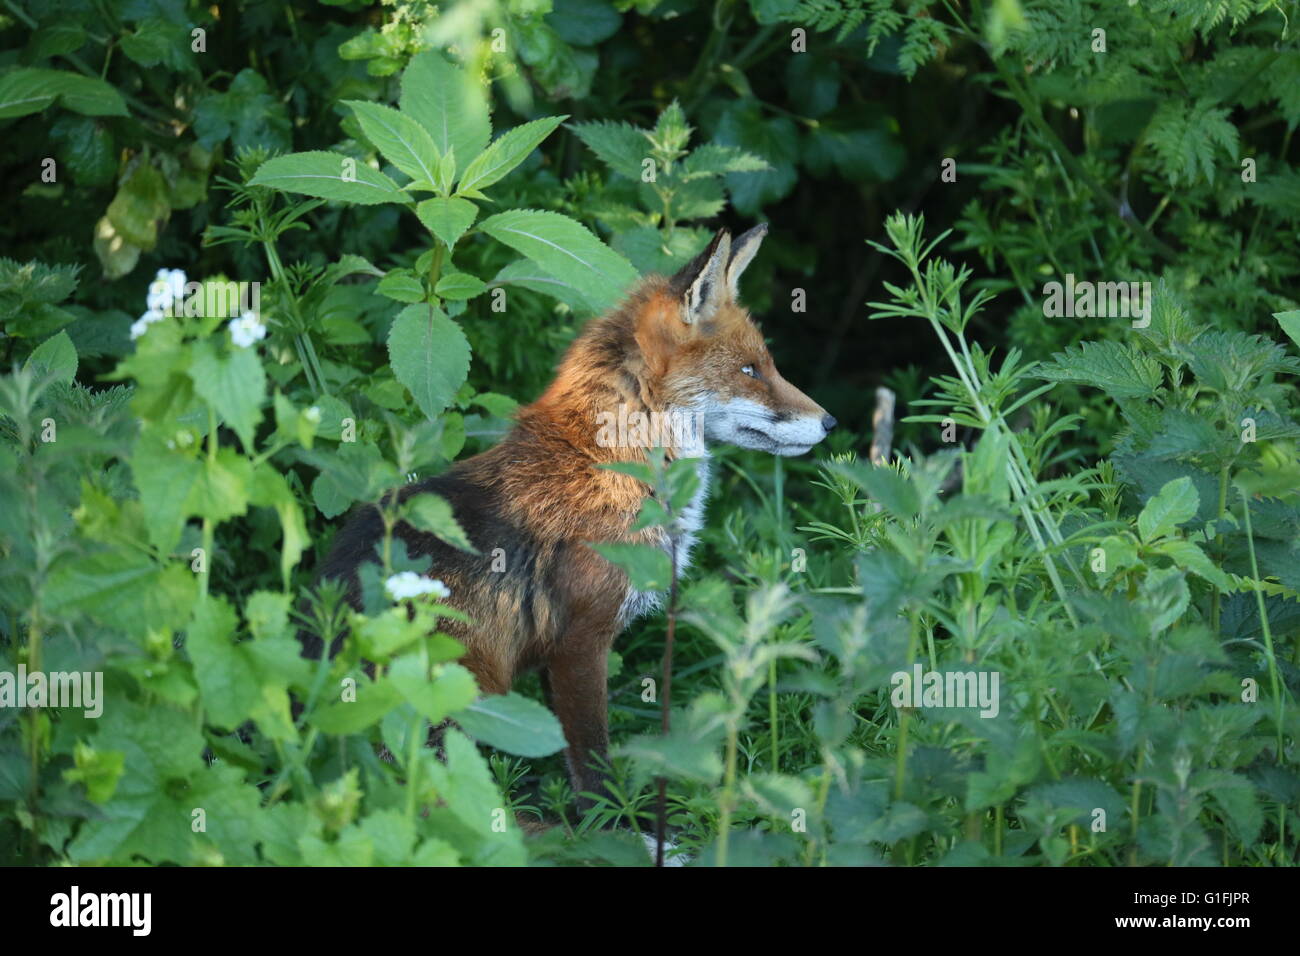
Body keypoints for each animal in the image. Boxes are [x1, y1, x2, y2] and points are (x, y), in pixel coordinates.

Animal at [317, 223, 842, 806]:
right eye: (750, 370)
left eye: (766, 365)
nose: (831, 422)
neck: (612, 464)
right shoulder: (580, 639)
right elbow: (592, 761)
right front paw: (619, 824)